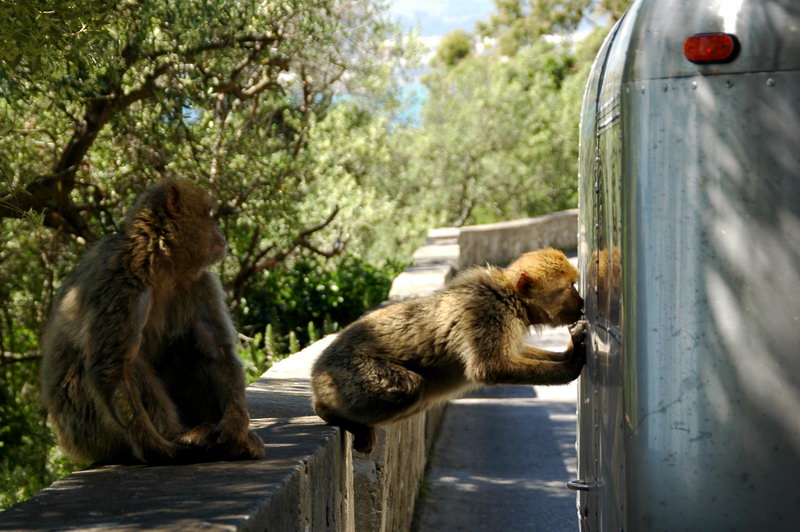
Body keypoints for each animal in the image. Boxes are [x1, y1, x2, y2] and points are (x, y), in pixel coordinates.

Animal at [40, 179, 262, 462]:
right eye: (209, 214)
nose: (221, 234)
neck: (162, 263)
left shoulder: (201, 283)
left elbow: (217, 352)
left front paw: (235, 426)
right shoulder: (120, 282)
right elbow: (111, 368)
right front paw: (155, 448)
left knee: (189, 349)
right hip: (84, 429)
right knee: (128, 364)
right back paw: (177, 436)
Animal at [312, 249, 588, 454]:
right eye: (569, 287)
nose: (582, 301)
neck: (511, 298)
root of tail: (318, 369)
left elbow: (513, 352)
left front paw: (568, 352)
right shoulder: (487, 312)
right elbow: (489, 368)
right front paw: (571, 366)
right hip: (346, 373)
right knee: (409, 387)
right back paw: (331, 413)